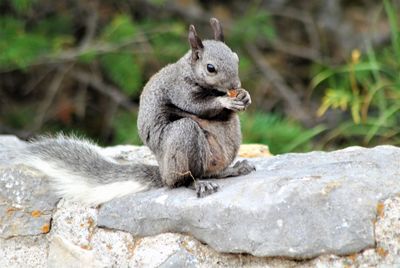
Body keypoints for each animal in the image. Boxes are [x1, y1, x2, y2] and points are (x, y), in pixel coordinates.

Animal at [11, 17, 256, 205]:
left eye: (236, 58)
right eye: (210, 68)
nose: (235, 85)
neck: (191, 72)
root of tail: (162, 172)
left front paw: (244, 96)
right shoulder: (179, 89)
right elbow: (197, 105)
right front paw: (225, 101)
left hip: (230, 138)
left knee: (211, 170)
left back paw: (232, 169)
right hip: (182, 139)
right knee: (184, 180)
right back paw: (198, 185)